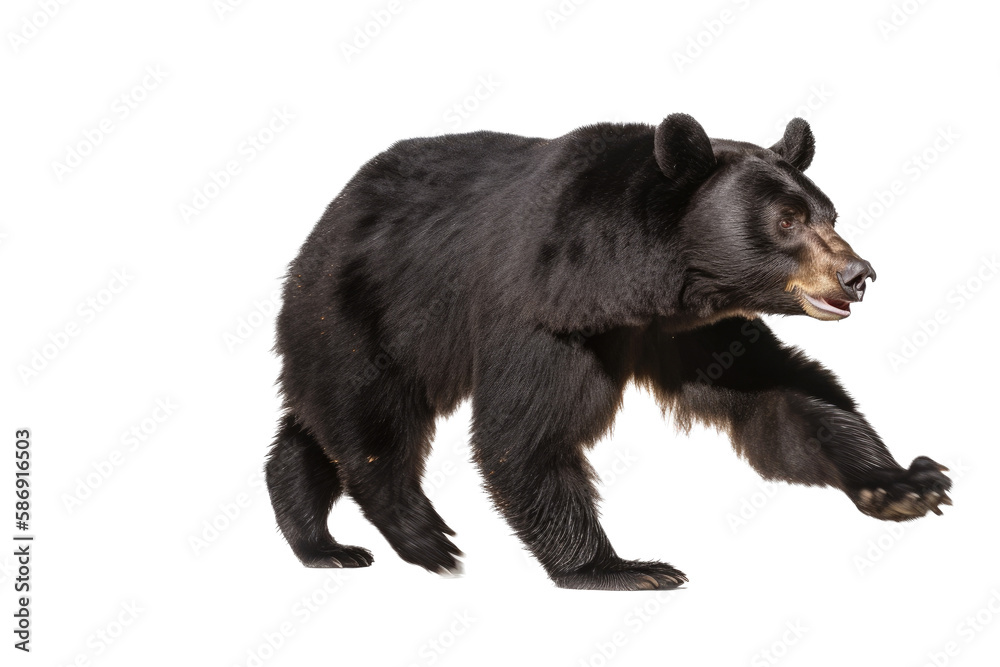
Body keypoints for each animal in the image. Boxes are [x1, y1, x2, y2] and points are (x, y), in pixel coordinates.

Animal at [264, 114, 952, 590]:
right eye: (785, 221)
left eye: (828, 213)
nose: (858, 274)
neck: (630, 286)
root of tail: (330, 211)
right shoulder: (544, 315)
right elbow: (528, 435)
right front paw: (622, 566)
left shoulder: (691, 330)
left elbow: (782, 398)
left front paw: (905, 485)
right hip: (365, 309)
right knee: (368, 412)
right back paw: (422, 536)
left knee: (317, 430)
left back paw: (320, 543)